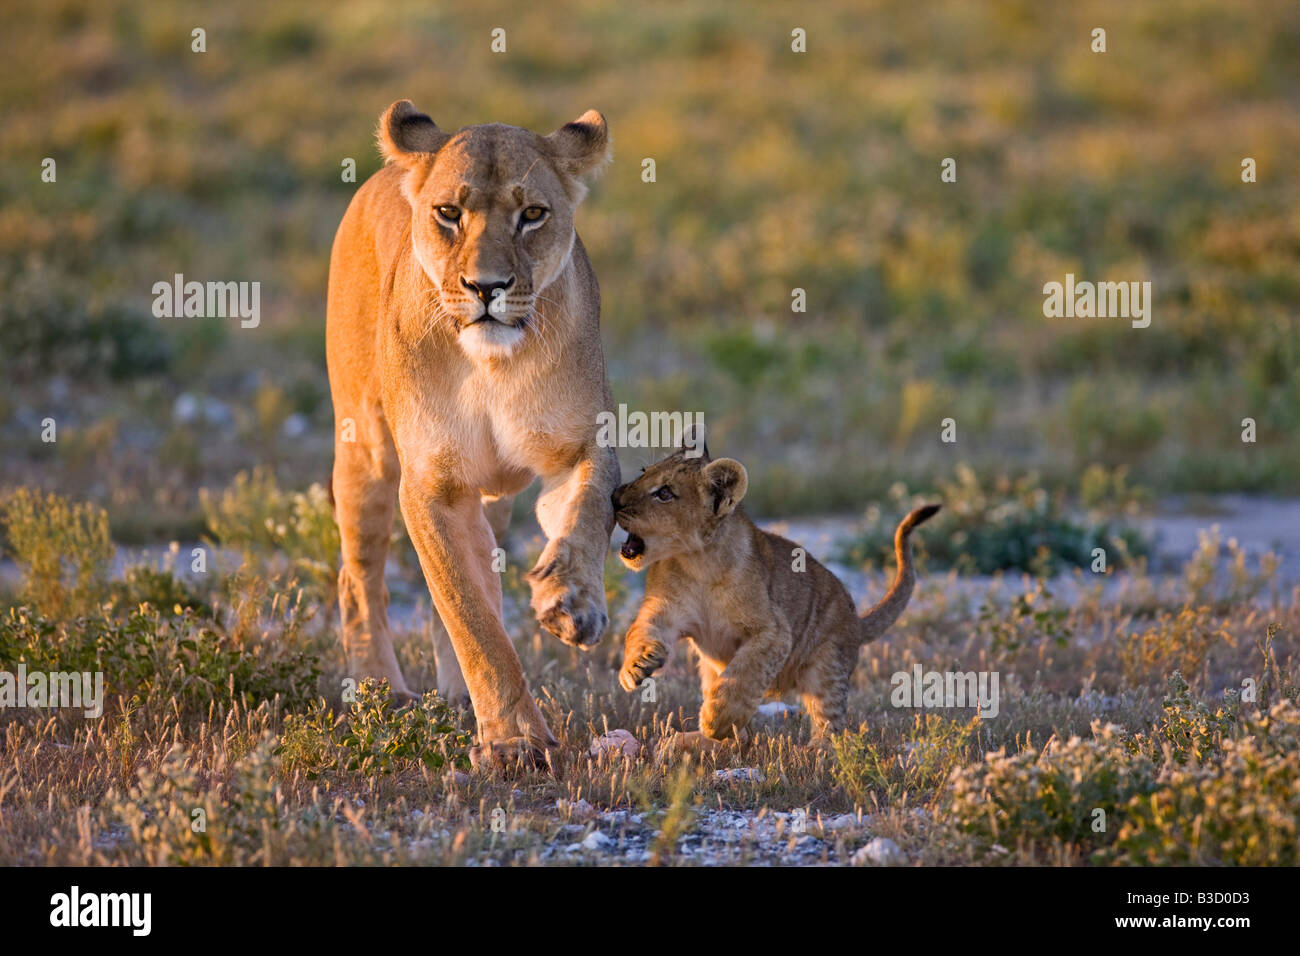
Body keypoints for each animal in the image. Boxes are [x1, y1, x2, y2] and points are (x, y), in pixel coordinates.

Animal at [326, 100, 619, 767]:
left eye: (532, 214)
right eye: (449, 214)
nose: (488, 288)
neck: (491, 364)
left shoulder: (577, 451)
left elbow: (586, 516)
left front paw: (571, 602)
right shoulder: (430, 484)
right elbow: (469, 613)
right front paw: (514, 741)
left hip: (494, 499)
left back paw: (457, 696)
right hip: (366, 452)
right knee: (359, 579)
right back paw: (382, 692)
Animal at [612, 437, 939, 748]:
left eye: (665, 493)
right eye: (643, 472)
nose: (614, 499)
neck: (696, 562)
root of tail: (857, 621)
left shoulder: (774, 631)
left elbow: (744, 673)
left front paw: (716, 719)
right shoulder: (663, 612)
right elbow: (639, 631)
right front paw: (635, 666)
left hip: (827, 662)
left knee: (830, 721)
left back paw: (816, 751)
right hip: (709, 668)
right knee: (741, 737)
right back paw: (685, 741)